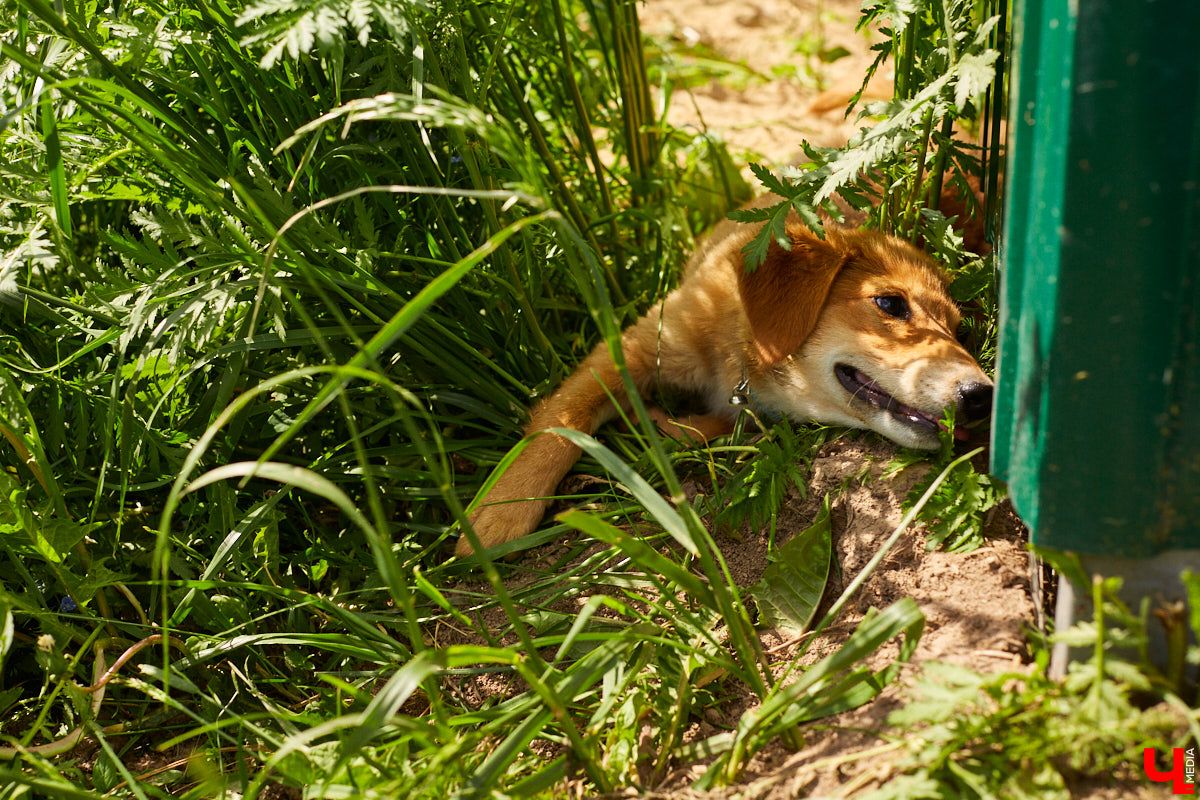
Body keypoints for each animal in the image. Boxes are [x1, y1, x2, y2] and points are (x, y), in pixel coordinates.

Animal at [453, 199, 988, 556]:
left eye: (960, 330)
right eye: (890, 304)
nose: (983, 395)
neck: (741, 356)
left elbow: (693, 431)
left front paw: (661, 426)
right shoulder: (634, 345)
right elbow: (562, 420)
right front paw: (502, 508)